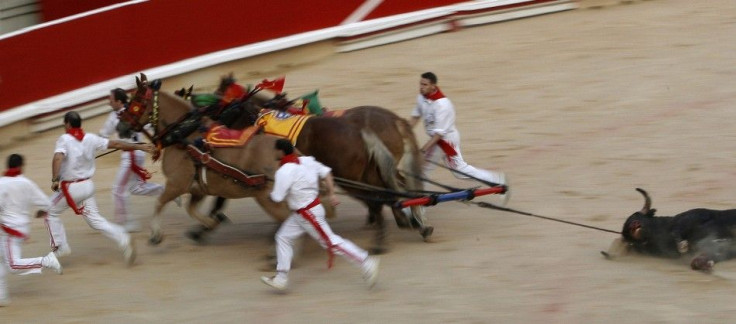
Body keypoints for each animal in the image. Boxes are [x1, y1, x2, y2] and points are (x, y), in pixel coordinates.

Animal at [604, 187, 736, 270]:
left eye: (640, 218)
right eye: (629, 240)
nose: (633, 224)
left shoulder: (691, 218)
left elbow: (676, 232)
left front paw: (683, 246)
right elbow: (699, 259)